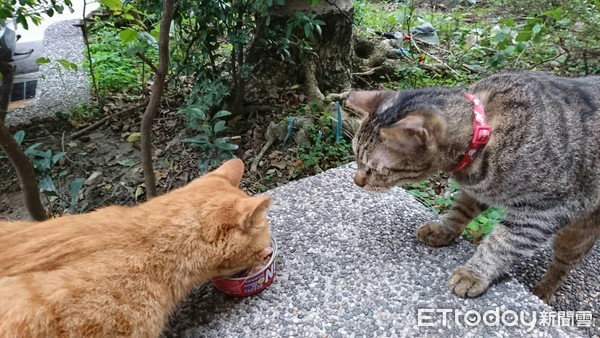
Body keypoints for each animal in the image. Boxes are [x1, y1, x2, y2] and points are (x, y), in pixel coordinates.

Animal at [346, 71, 600, 304]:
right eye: (355, 156)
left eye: (373, 169)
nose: (356, 181)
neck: (483, 132)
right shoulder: (478, 190)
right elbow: (459, 212)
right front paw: (443, 230)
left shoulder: (542, 212)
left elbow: (502, 243)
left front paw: (474, 273)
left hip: (576, 234)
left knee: (562, 265)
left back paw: (544, 291)